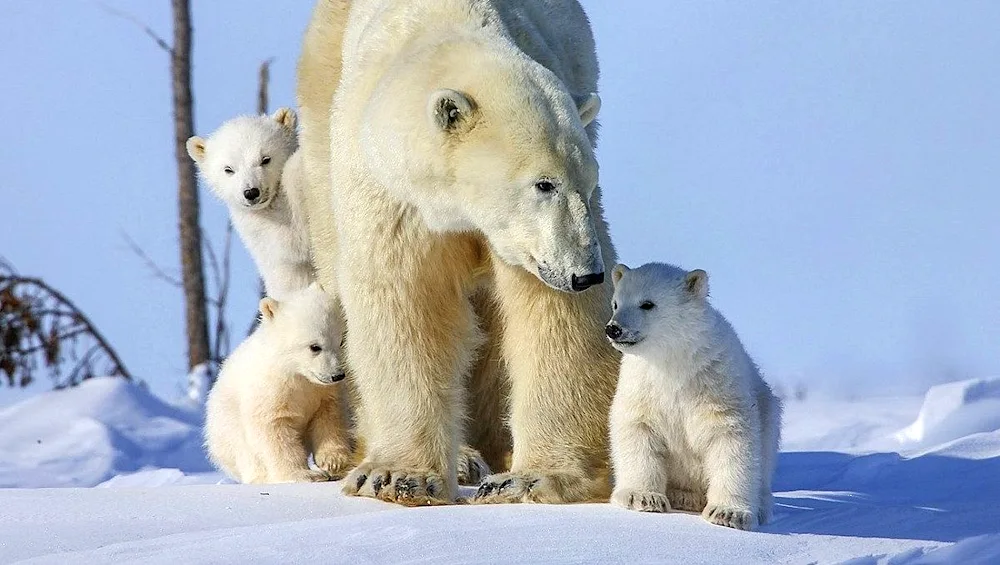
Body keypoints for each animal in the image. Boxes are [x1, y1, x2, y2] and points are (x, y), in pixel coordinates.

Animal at [202, 284, 352, 482]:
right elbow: (274, 430)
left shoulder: (322, 392)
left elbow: (328, 417)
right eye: (315, 347)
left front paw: (334, 462)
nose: (337, 375)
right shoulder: (270, 391)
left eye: (341, 341)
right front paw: (303, 474)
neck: (294, 373)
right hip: (229, 428)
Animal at [296, 0, 620, 502]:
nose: (586, 274)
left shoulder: (530, 245)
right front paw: (397, 476)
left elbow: (554, 318)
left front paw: (532, 478)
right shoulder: (391, 193)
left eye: (588, 184)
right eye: (543, 183)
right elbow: (406, 302)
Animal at [600, 264, 780, 528]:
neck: (673, 361)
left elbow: (730, 437)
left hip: (769, 410)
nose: (614, 329)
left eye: (647, 304)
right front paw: (642, 497)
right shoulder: (642, 384)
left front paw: (728, 513)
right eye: (615, 303)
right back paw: (683, 496)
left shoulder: (716, 381)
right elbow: (637, 428)